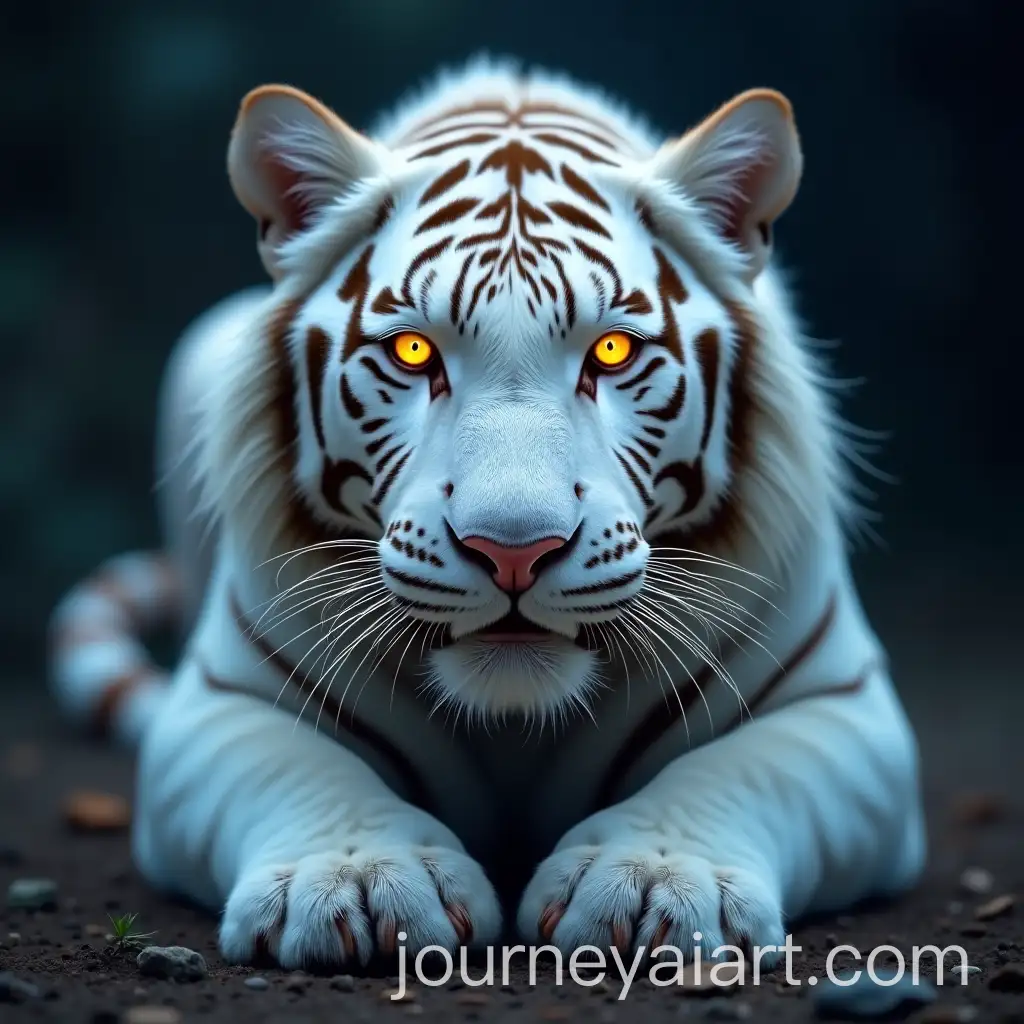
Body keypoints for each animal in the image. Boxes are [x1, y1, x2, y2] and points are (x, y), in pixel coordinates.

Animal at [48, 57, 925, 970]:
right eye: (412, 351)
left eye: (612, 350)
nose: (513, 552)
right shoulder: (221, 701)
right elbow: (297, 771)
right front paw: (357, 877)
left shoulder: (840, 707)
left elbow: (736, 771)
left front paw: (656, 880)